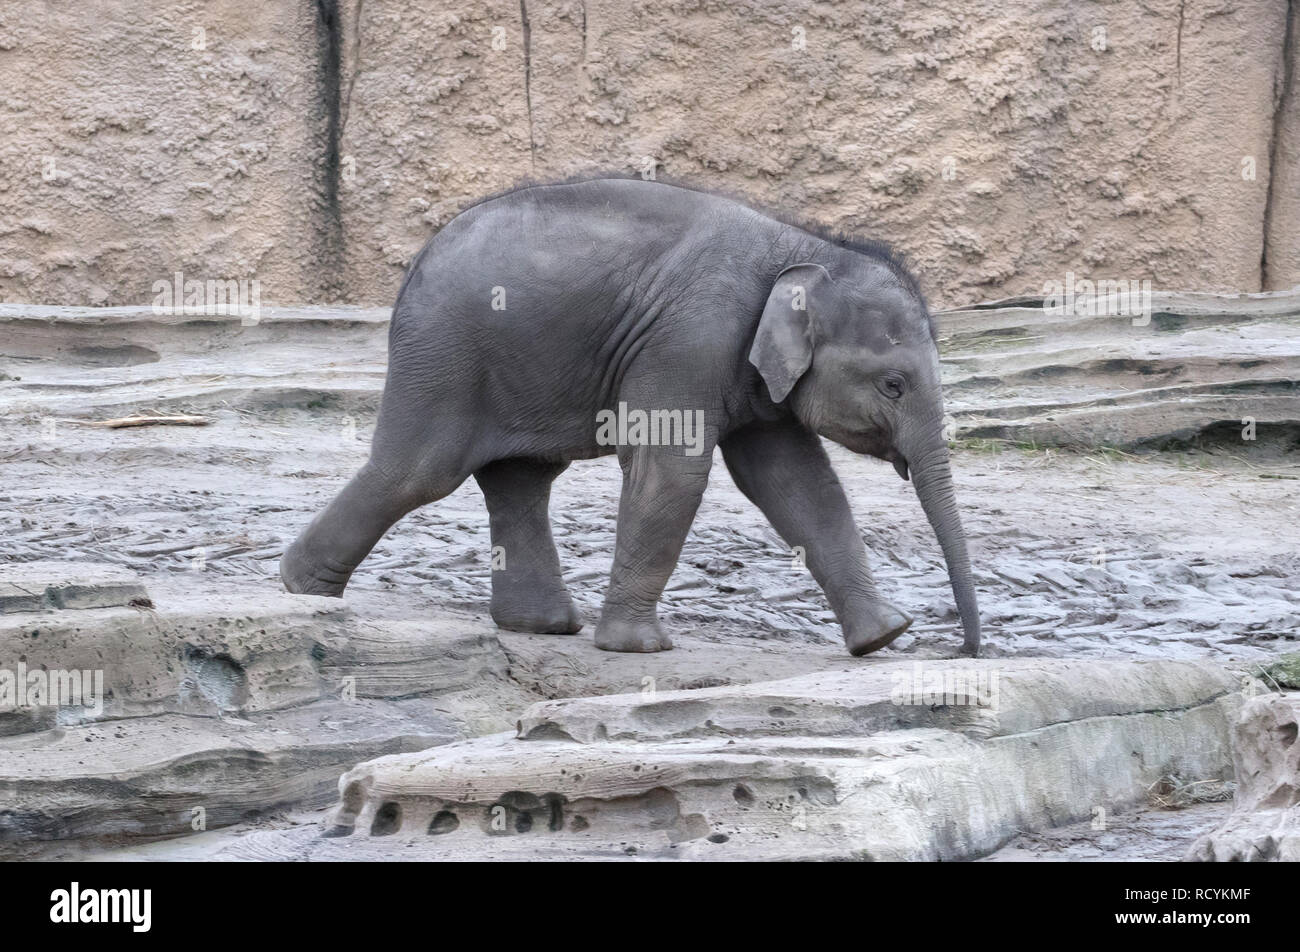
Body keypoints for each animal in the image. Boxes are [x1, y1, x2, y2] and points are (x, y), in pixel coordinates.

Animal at [280, 176, 981, 657]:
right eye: (894, 384)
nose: (966, 651)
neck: (806, 247)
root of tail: (416, 264)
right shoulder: (691, 339)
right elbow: (672, 472)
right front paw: (640, 649)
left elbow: (798, 484)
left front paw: (882, 639)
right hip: (445, 351)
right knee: (418, 471)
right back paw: (301, 589)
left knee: (521, 479)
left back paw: (543, 626)